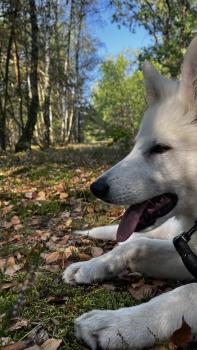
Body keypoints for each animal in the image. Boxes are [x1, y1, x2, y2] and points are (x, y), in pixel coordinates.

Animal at [63, 37, 197, 348]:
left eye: (160, 148)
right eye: (136, 145)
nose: (95, 188)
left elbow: (183, 294)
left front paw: (120, 324)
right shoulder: (188, 253)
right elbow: (137, 247)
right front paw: (92, 266)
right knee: (134, 240)